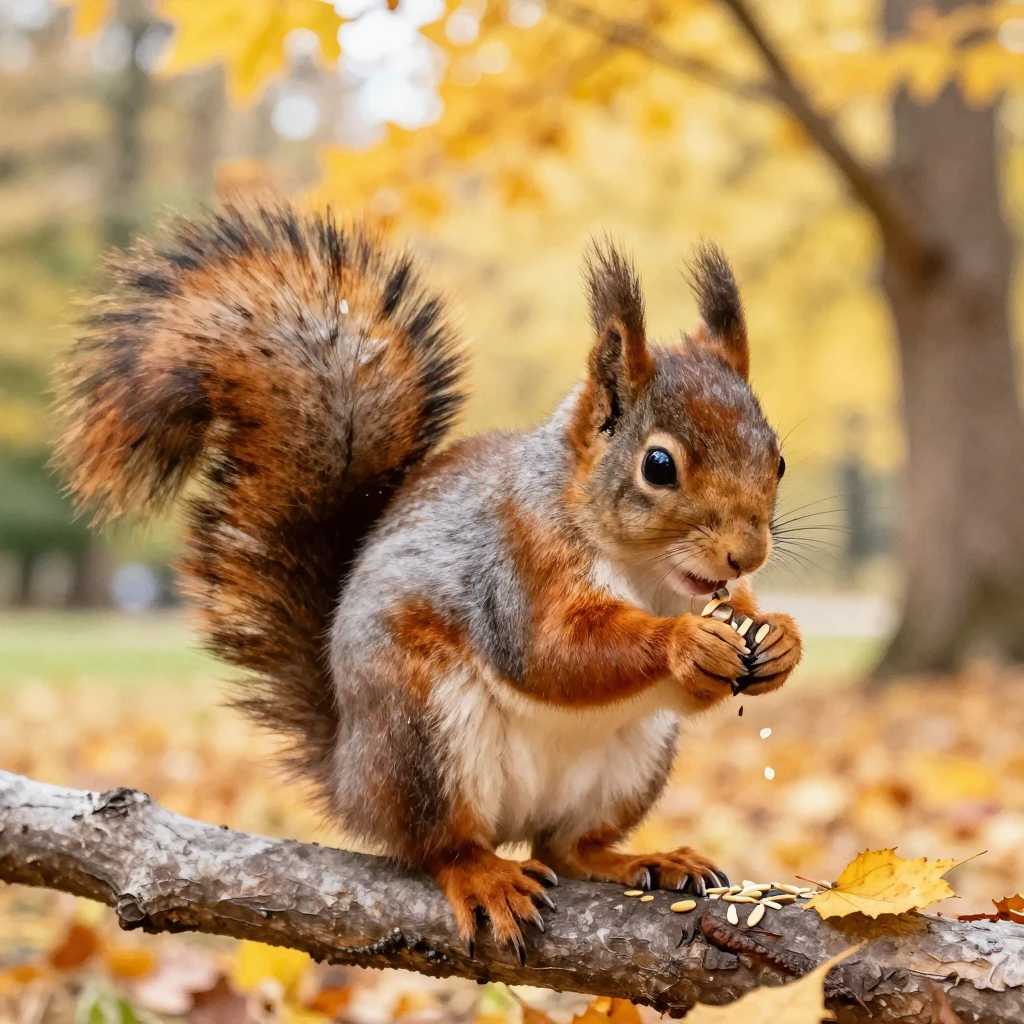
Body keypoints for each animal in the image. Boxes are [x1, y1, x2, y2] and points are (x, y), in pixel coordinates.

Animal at [55, 204, 802, 958]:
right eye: (658, 465)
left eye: (778, 459)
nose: (745, 554)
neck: (645, 574)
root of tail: (349, 774)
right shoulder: (517, 562)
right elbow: (552, 653)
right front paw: (687, 642)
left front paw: (778, 639)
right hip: (420, 732)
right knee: (439, 846)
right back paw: (484, 875)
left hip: (629, 763)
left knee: (565, 848)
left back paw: (639, 857)